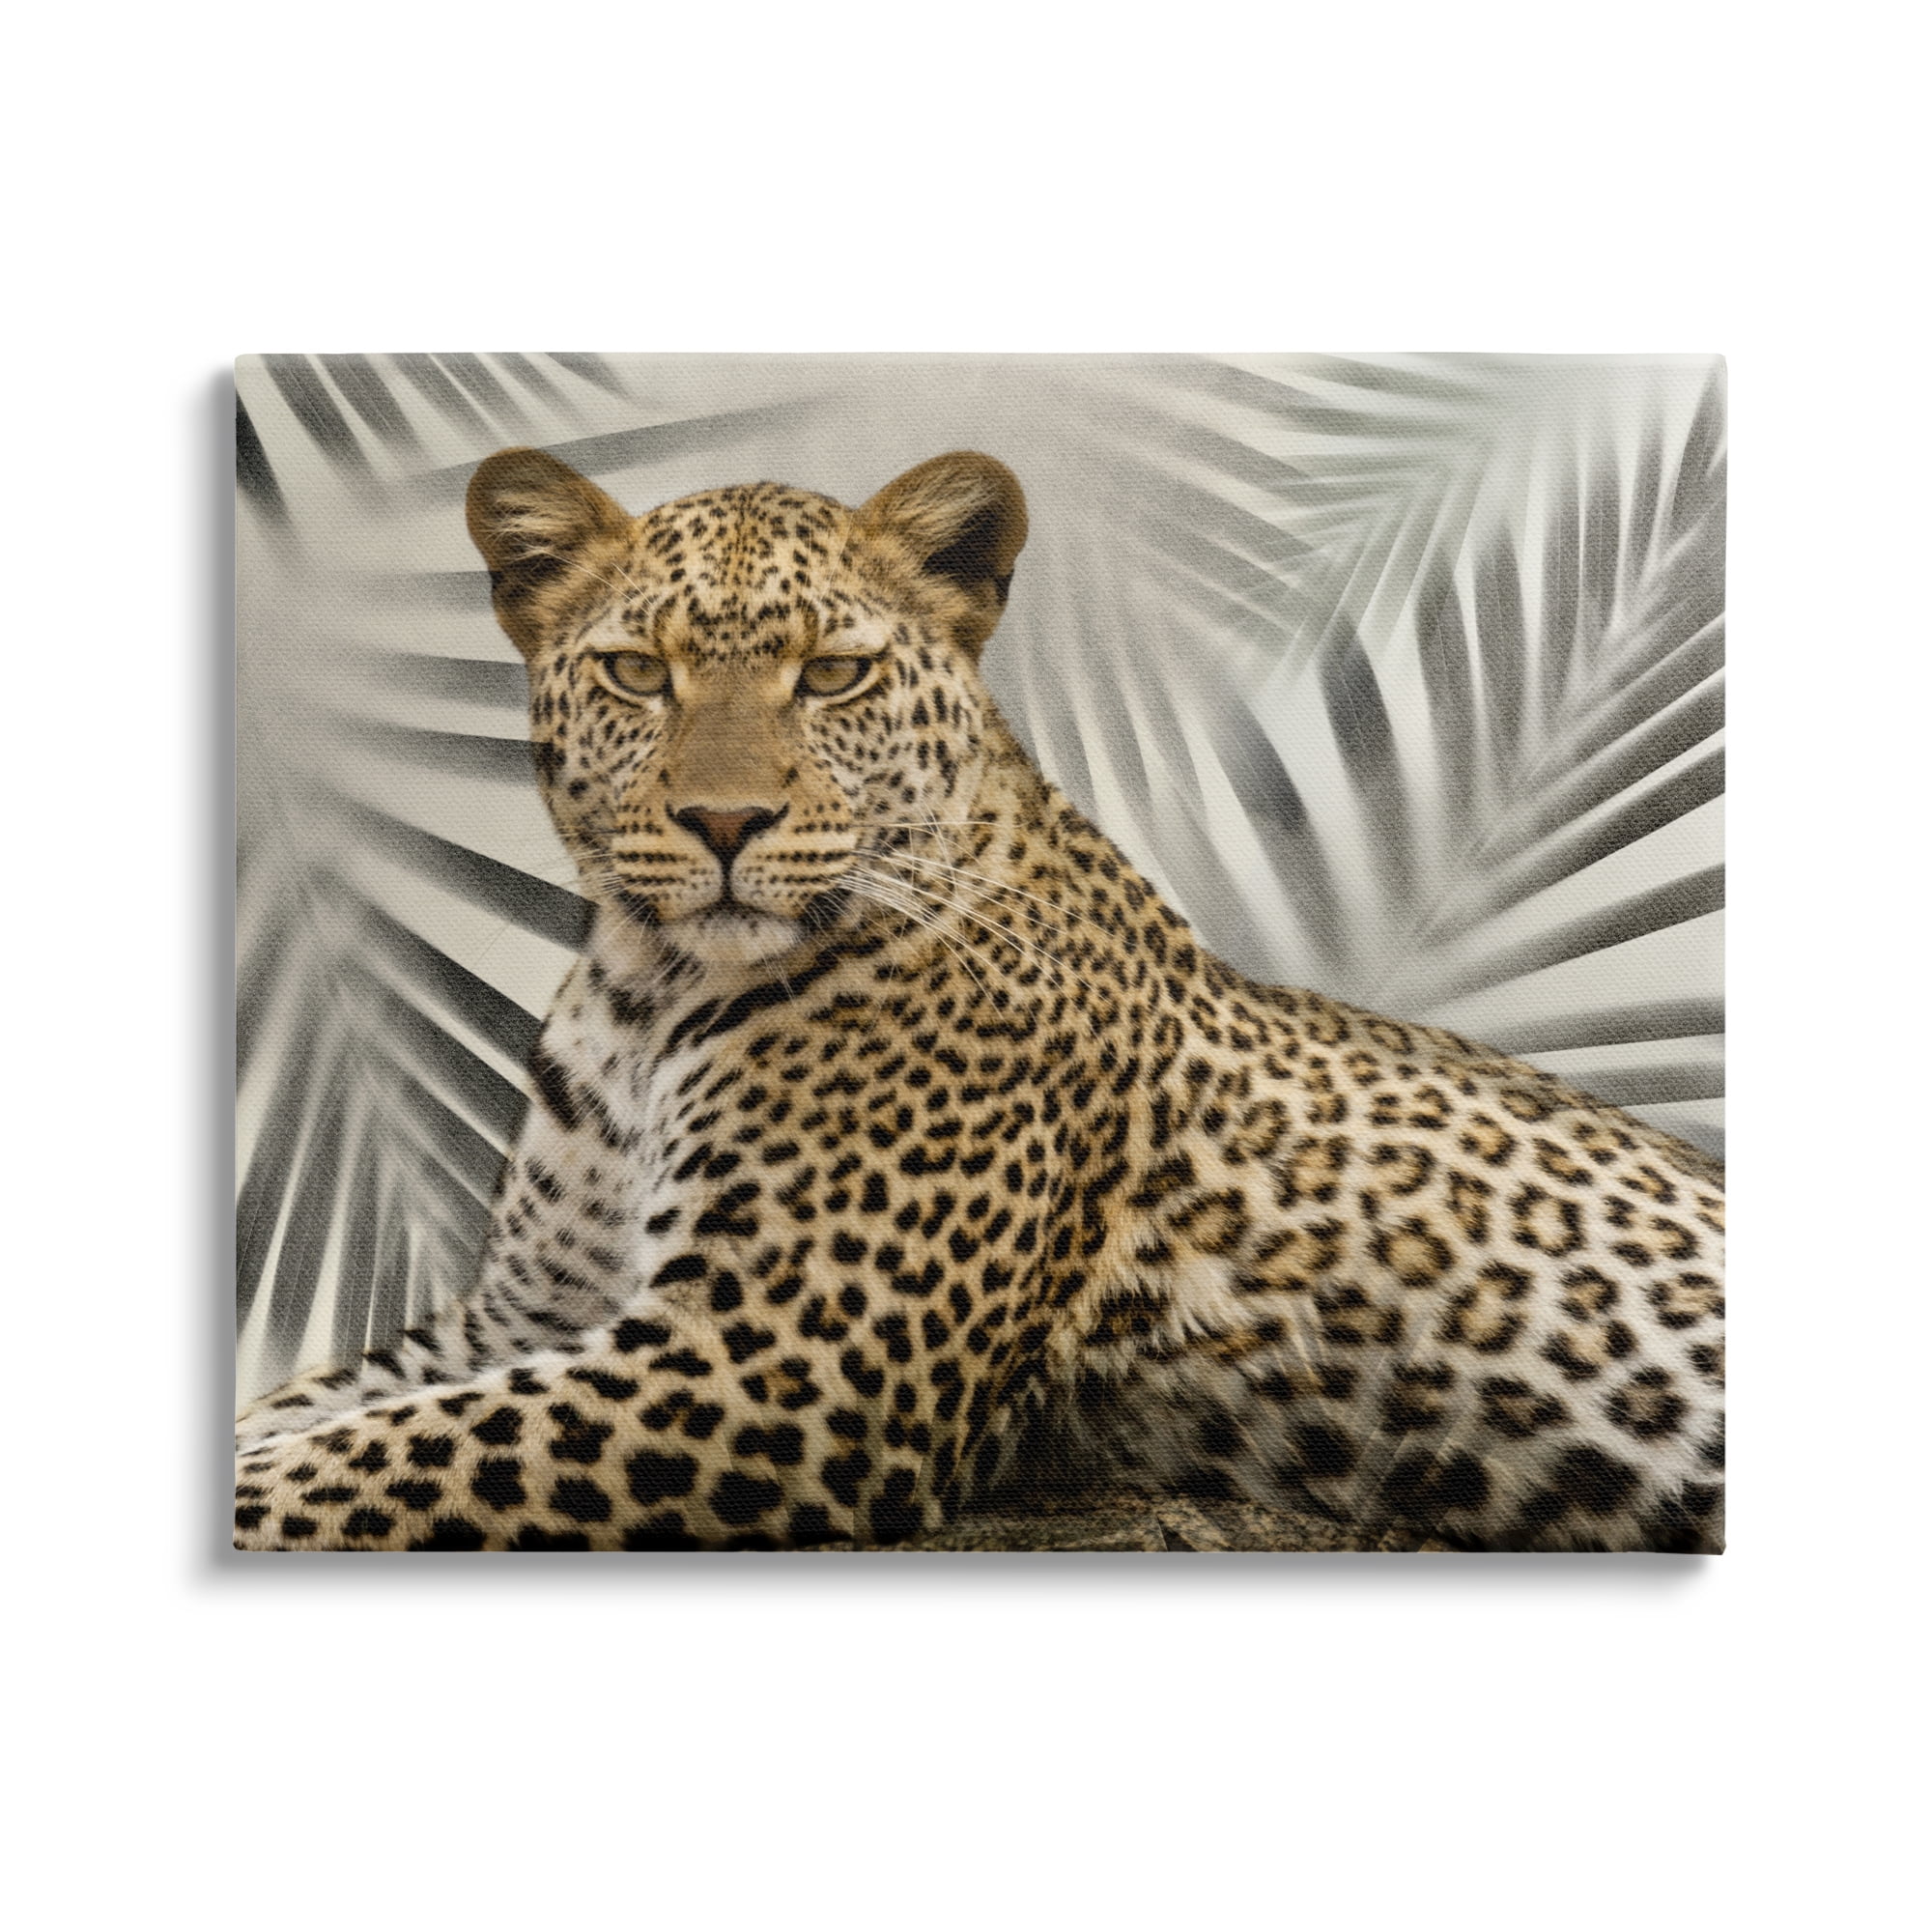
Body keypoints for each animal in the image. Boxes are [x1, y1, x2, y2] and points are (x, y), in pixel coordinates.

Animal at [234, 445, 1725, 1552]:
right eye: (637, 673)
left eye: (832, 674)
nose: (724, 822)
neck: (648, 994)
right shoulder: (528, 1316)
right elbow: (316, 1408)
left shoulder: (775, 1362)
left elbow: (358, 1461)